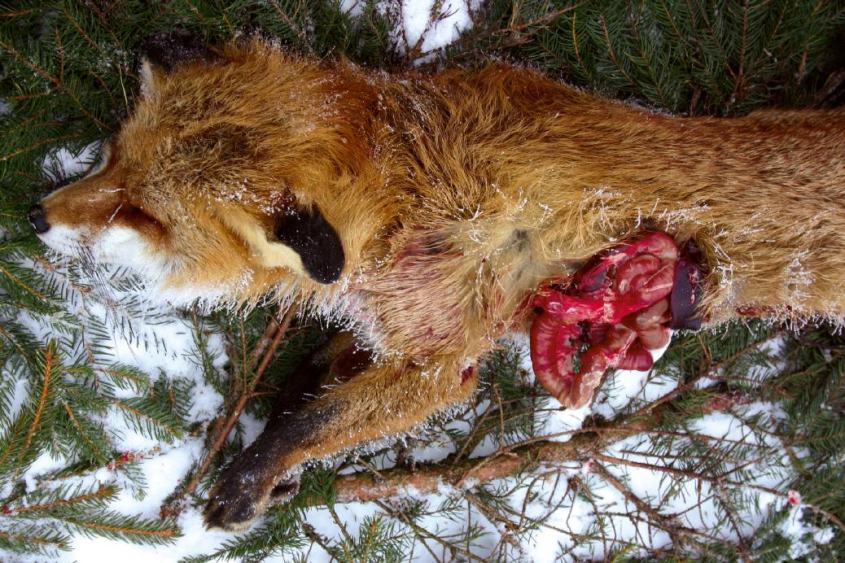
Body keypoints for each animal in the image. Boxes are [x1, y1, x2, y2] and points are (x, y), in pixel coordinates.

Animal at [30, 38, 845, 531]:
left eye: (145, 215)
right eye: (112, 159)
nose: (35, 216)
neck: (412, 194)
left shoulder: (441, 363)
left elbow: (308, 423)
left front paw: (245, 482)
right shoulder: (385, 326)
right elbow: (301, 392)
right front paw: (271, 474)